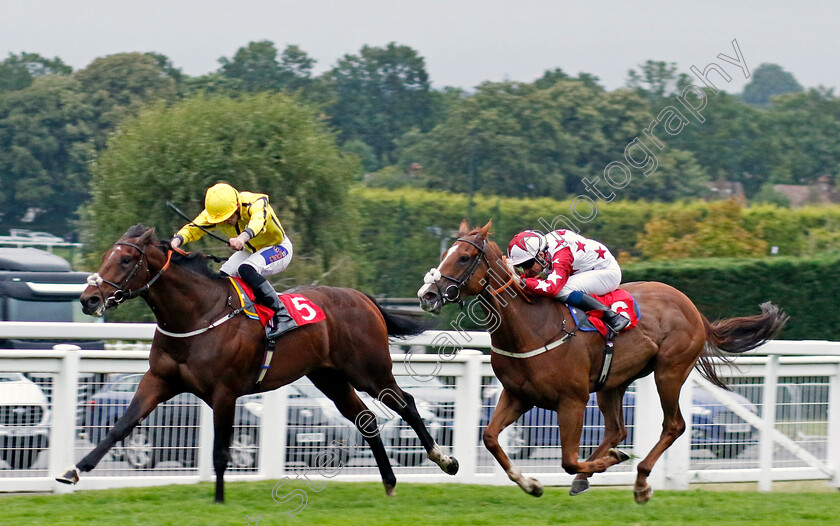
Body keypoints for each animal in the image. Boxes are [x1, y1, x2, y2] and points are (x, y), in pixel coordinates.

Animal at [57, 225, 460, 506]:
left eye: (126, 260)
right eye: (107, 255)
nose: (88, 299)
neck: (198, 314)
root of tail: (362, 298)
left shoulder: (224, 392)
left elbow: (221, 451)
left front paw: (219, 500)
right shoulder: (158, 380)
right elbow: (120, 427)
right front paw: (74, 471)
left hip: (369, 370)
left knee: (405, 402)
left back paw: (444, 460)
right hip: (329, 377)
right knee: (367, 419)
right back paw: (389, 483)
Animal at [416, 221, 784, 506]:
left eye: (463, 257)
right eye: (444, 255)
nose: (427, 295)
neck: (531, 327)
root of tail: (693, 308)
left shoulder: (572, 400)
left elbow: (567, 460)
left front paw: (600, 466)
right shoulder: (518, 395)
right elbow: (491, 438)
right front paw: (531, 484)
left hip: (669, 371)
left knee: (674, 425)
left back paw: (639, 480)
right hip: (613, 383)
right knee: (617, 429)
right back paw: (596, 471)